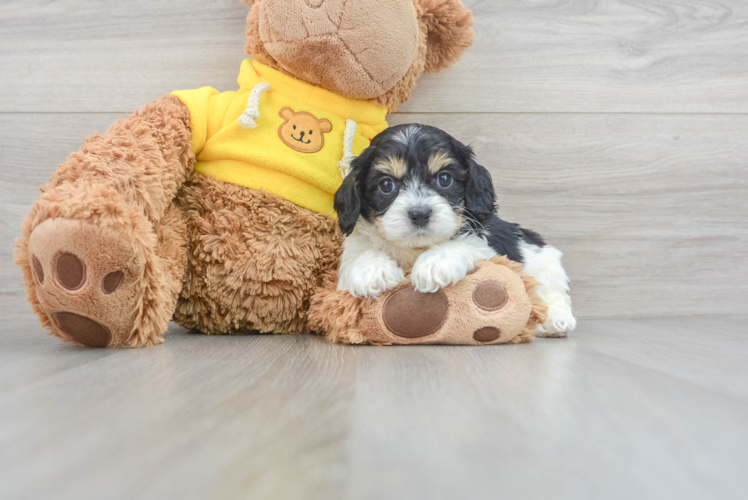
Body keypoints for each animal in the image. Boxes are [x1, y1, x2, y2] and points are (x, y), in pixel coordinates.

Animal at [334, 123, 580, 338]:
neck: (415, 248)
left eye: (444, 179)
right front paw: (372, 270)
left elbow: (462, 245)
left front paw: (434, 263)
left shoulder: (486, 247)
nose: (420, 213)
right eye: (386, 184)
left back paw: (555, 321)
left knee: (552, 292)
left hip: (544, 261)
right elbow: (358, 254)